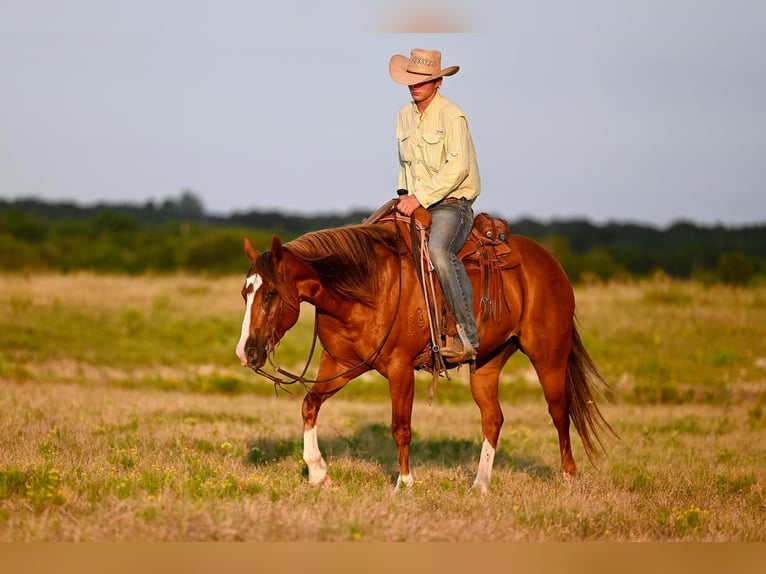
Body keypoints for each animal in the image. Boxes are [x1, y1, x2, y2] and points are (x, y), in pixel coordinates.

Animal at [237, 212, 616, 496]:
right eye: (245, 293)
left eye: (270, 293)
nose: (246, 352)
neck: (368, 286)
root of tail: (550, 263)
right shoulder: (341, 364)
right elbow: (310, 405)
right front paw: (318, 473)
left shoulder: (400, 368)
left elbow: (401, 427)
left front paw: (404, 483)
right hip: (487, 362)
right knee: (493, 418)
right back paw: (480, 485)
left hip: (548, 356)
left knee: (560, 412)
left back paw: (567, 477)